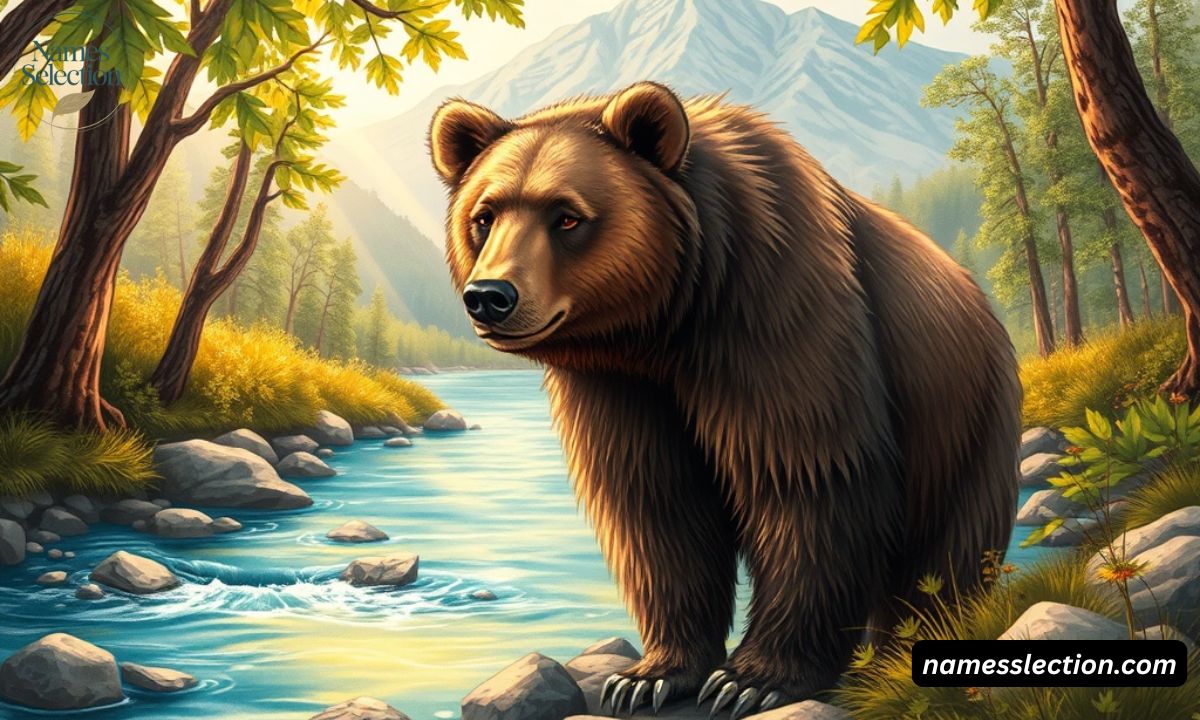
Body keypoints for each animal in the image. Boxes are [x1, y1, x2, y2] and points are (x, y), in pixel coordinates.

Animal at [428, 82, 1020, 717]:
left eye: (566, 215)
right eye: (485, 216)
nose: (490, 296)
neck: (667, 325)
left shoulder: (780, 315)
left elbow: (808, 480)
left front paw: (751, 679)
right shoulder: (620, 388)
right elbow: (656, 503)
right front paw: (651, 675)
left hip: (961, 420)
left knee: (945, 558)